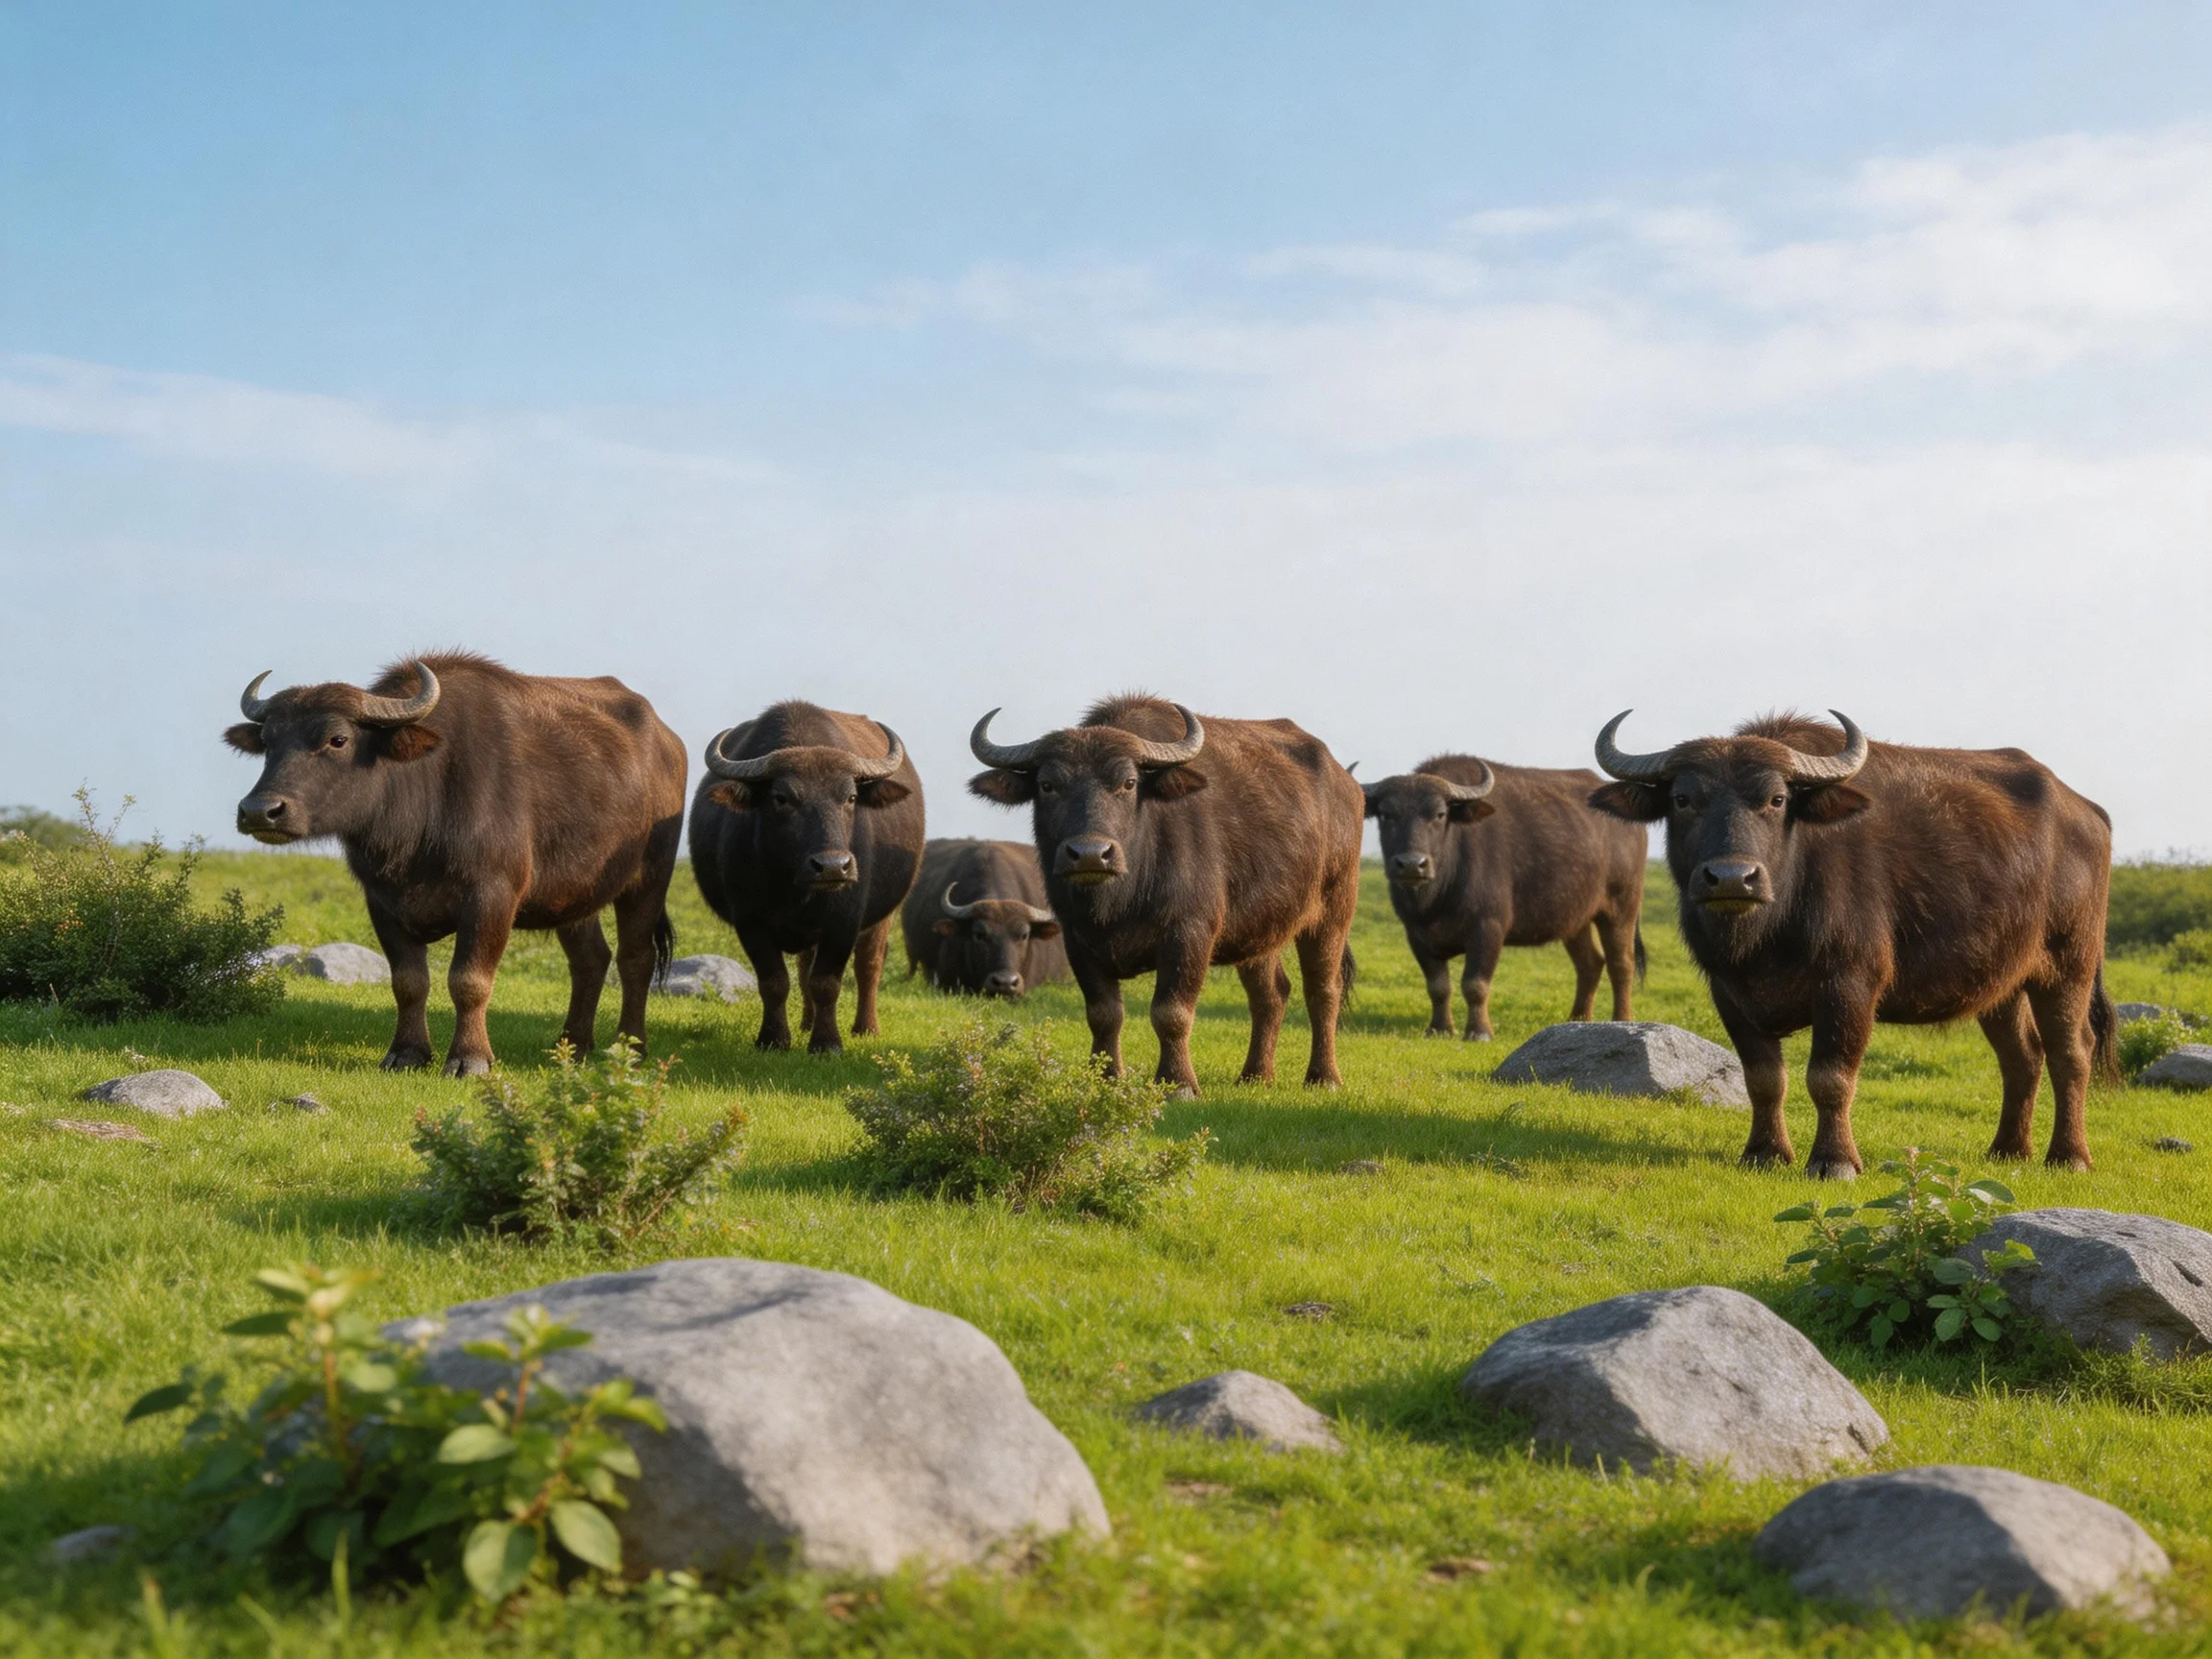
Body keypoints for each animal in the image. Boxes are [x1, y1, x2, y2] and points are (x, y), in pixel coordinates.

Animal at [225, 652, 686, 1076]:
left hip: (650, 877)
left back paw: (630, 1048)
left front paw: (469, 1058)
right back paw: (572, 1045)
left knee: (635, 958)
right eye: (269, 742)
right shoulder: (381, 901)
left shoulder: (492, 895)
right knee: (590, 960)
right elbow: (408, 981)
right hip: (573, 895)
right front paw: (406, 1053)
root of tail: (670, 743)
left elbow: (469, 980)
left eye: (337, 739)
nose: (259, 811)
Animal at [688, 701, 924, 1053]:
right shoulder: (749, 920)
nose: (833, 866)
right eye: (782, 798)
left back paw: (865, 1028)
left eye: (850, 797)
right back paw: (806, 1023)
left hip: (884, 915)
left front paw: (827, 1043)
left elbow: (827, 983)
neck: (797, 887)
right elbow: (775, 981)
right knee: (804, 969)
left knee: (868, 966)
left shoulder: (844, 920)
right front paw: (773, 1038)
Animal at [969, 694, 1363, 1094]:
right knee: (1270, 995)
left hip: (1335, 907)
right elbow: (1104, 1014)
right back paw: (1254, 1076)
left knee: (1323, 990)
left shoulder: (1189, 933)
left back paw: (1323, 1077)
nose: (1091, 854)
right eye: (1047, 785)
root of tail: (1346, 782)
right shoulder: (1078, 940)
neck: (1119, 899)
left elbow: (1171, 1013)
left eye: (1129, 783)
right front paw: (1107, 1078)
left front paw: (1179, 1083)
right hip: (1259, 930)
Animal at [1364, 755, 1646, 1038]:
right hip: (1576, 919)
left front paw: (1479, 1032)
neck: (1436, 897)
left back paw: (1622, 1019)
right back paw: (1577, 1020)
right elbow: (1438, 986)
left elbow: (1475, 984)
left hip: (1622, 907)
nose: (1412, 864)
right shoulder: (1416, 933)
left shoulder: (1488, 927)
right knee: (1590, 963)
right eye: (1386, 814)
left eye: (1439, 814)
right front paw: (1439, 1029)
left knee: (1621, 964)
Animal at [1590, 710, 2115, 1177]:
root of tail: (2087, 812)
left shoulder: (1850, 985)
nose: (1732, 878)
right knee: (2022, 1056)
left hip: (2069, 964)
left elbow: (1831, 1078)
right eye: (1682, 799)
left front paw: (1834, 1160)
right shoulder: (1728, 991)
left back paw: (2069, 1156)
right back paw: (2007, 1150)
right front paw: (1764, 1153)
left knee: (2072, 1051)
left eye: (1776, 799)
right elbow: (1764, 1079)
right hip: (2002, 980)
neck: (1768, 934)